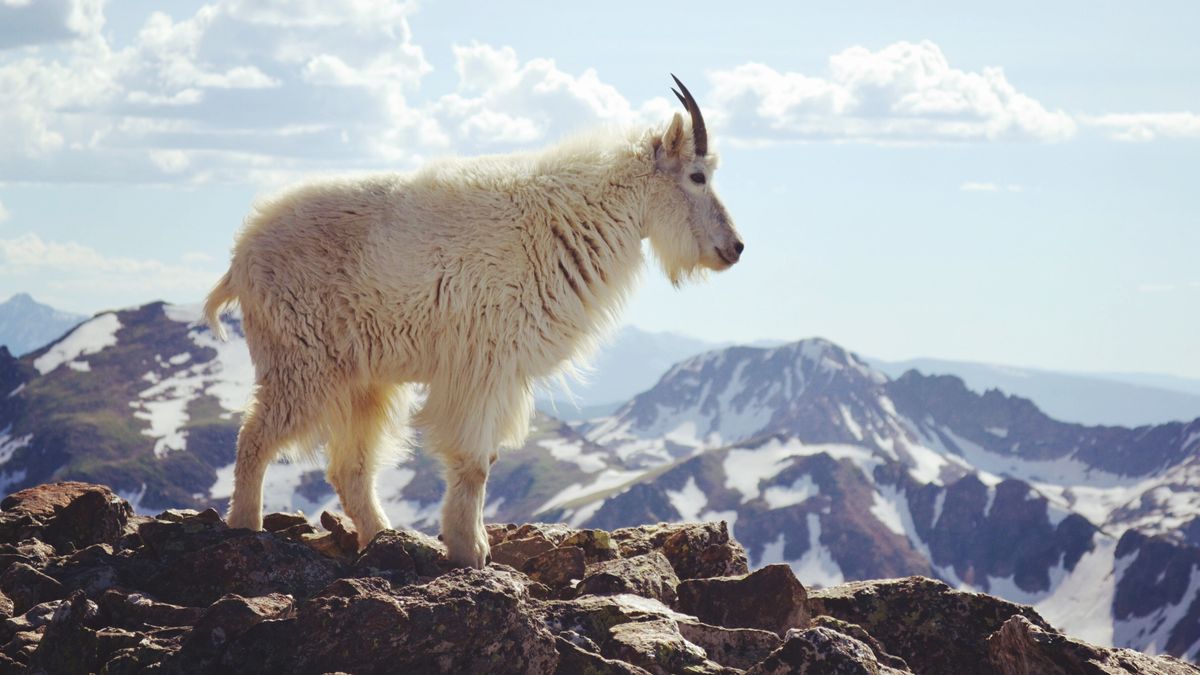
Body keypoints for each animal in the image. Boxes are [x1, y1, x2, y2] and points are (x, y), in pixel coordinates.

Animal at [204, 76, 739, 564]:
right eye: (697, 176)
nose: (734, 248)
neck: (568, 219)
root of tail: (240, 259)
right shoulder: (481, 365)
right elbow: (476, 462)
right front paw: (470, 550)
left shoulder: (500, 375)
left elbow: (487, 458)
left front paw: (469, 543)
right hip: (302, 360)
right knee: (255, 438)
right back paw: (246, 526)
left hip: (364, 382)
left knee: (349, 468)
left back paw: (384, 537)